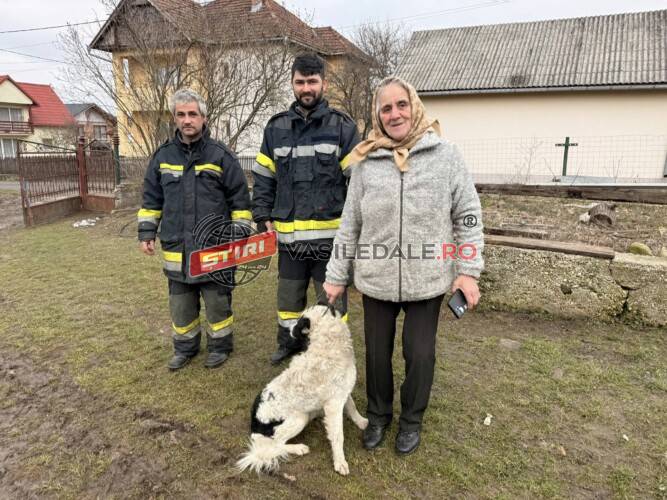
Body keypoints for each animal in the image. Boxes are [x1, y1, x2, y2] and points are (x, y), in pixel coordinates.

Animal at [236, 304, 368, 476]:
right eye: (327, 310)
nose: (331, 302)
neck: (328, 345)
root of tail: (254, 424)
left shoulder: (342, 392)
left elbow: (352, 407)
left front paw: (362, 422)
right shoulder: (333, 405)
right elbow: (338, 436)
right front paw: (340, 462)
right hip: (299, 418)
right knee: (275, 444)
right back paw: (298, 448)